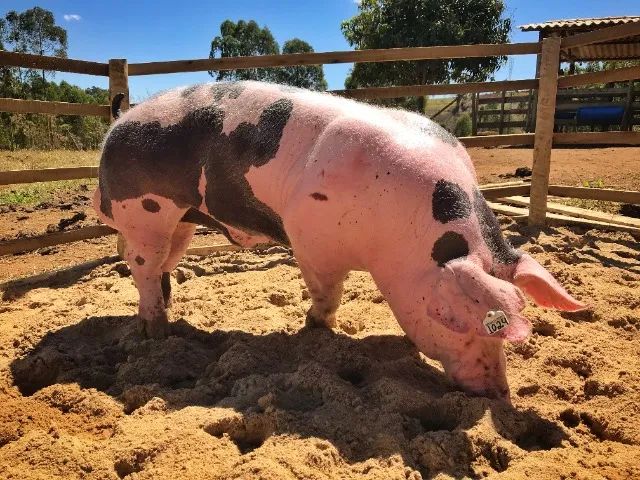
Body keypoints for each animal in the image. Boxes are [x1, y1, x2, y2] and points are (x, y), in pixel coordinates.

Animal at [94, 81, 585, 401]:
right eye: (452, 319)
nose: (498, 392)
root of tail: (120, 121)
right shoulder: (310, 239)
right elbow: (328, 293)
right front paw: (314, 330)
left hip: (181, 221)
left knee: (161, 265)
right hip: (143, 211)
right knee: (141, 264)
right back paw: (155, 333)